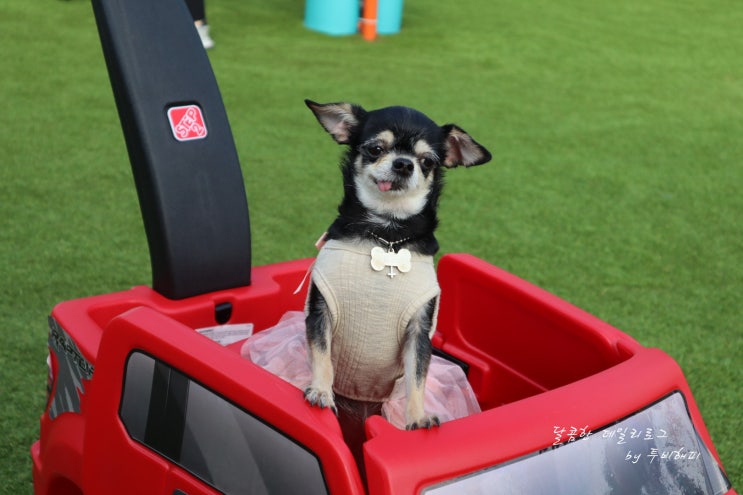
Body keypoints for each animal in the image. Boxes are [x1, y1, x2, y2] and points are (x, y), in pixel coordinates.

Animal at [306, 100, 492, 430]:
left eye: (427, 161)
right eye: (376, 149)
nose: (404, 164)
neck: (388, 234)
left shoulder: (419, 331)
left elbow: (417, 376)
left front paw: (417, 418)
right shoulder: (320, 311)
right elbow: (321, 354)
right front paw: (321, 391)